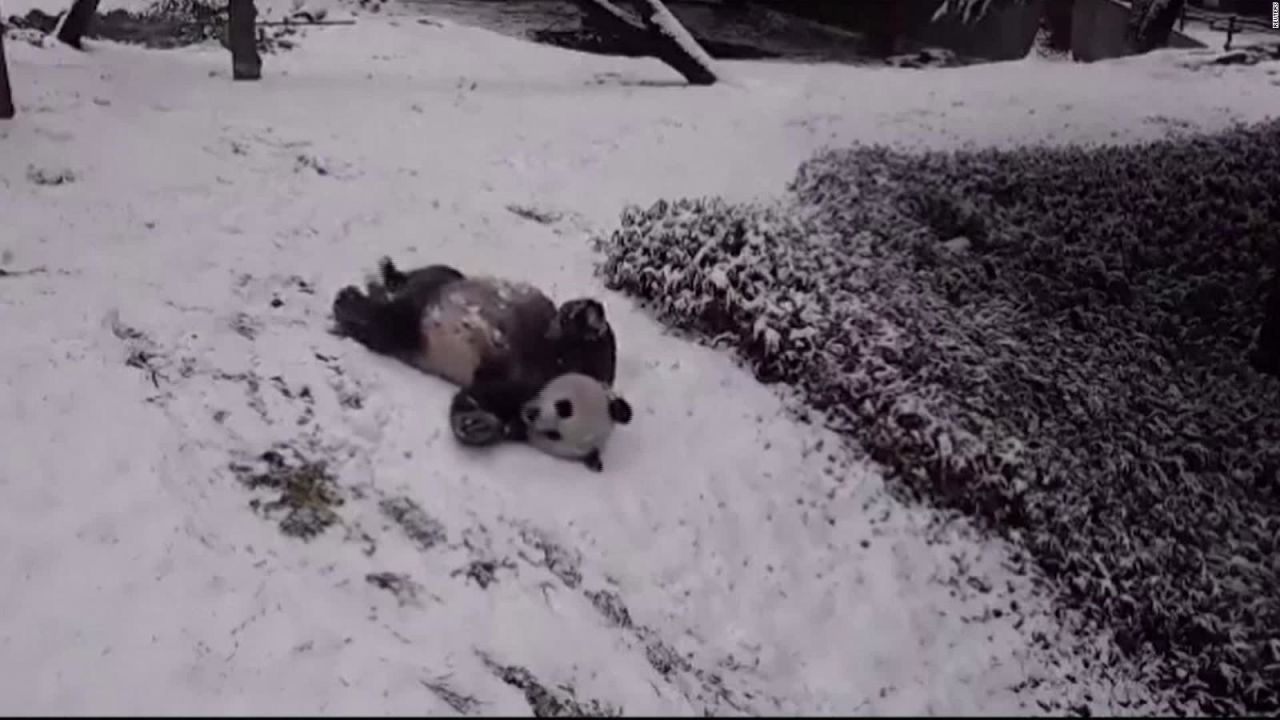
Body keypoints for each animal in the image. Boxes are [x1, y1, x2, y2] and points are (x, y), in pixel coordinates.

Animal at [330, 254, 629, 468]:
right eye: (564, 406)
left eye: (555, 435)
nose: (532, 414)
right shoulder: (571, 356)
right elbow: (585, 337)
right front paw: (586, 317)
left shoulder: (511, 393)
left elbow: (478, 399)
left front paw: (477, 425)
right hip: (445, 282)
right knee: (434, 277)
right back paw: (377, 282)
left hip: (412, 336)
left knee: (390, 327)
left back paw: (354, 304)